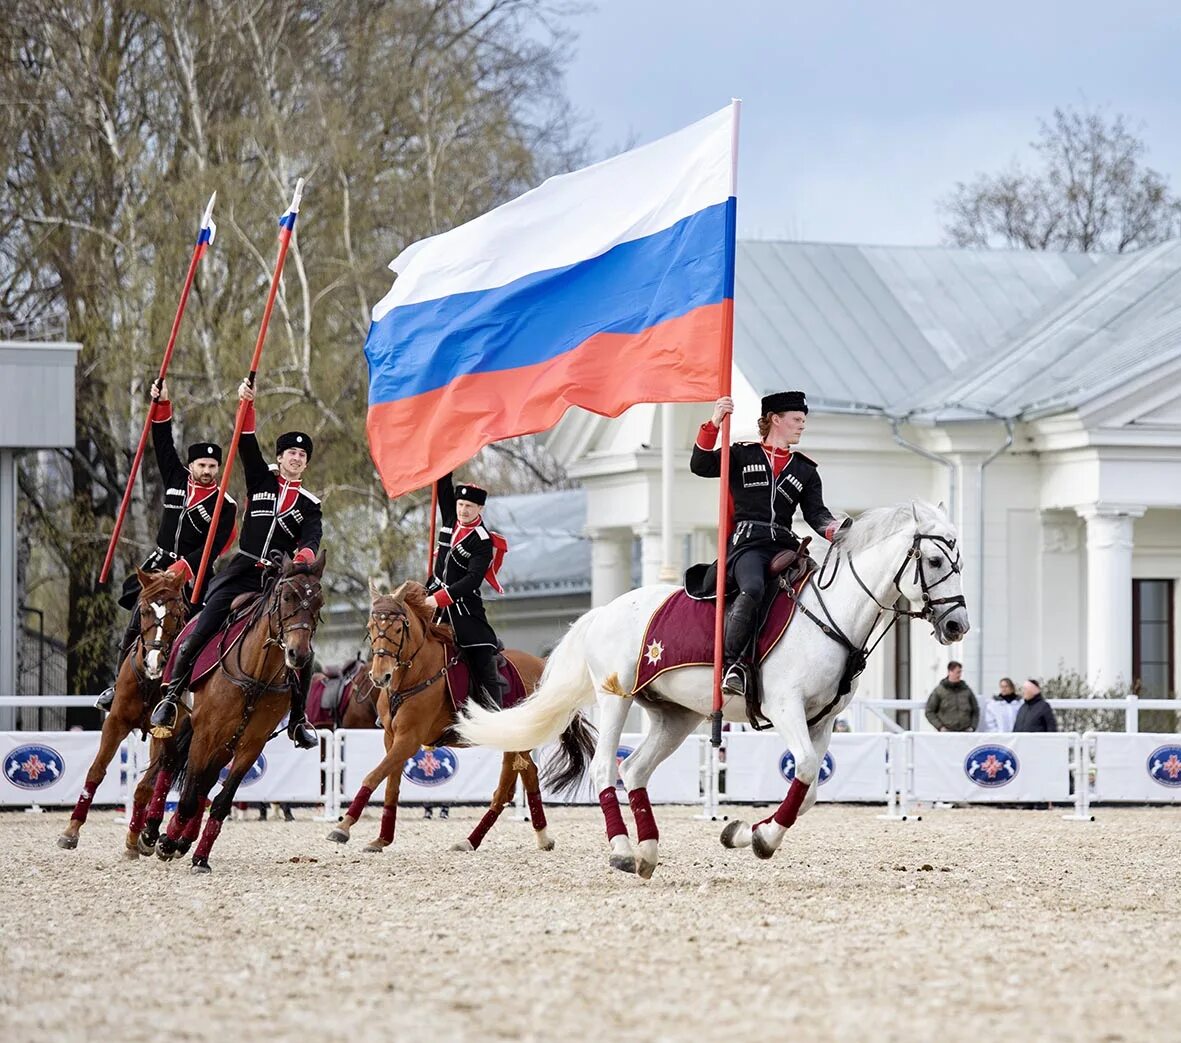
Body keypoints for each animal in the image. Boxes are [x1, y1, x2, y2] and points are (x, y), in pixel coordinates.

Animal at [55, 571, 188, 855]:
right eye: (144, 610)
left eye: (177, 612)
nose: (155, 662)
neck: (149, 683)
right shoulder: (116, 723)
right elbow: (96, 771)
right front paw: (71, 830)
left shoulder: (164, 733)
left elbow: (145, 787)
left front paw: (135, 838)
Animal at [154, 555, 328, 874]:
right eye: (287, 597)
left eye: (319, 602)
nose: (298, 655)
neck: (256, 675)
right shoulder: (205, 734)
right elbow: (187, 798)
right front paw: (167, 842)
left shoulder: (250, 744)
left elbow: (221, 800)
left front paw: (199, 856)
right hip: (181, 726)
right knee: (170, 765)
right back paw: (150, 832)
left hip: (225, 744)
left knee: (205, 782)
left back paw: (184, 839)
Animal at [325, 578, 595, 855]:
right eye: (371, 627)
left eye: (399, 628)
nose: (380, 676)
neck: (413, 676)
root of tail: (544, 666)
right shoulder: (391, 739)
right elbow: (390, 787)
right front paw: (381, 839)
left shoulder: (409, 739)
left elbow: (373, 776)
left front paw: (343, 826)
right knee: (527, 776)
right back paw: (534, 837)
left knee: (505, 790)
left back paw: (475, 839)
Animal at [458, 500, 968, 878]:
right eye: (935, 560)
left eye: (959, 560)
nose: (957, 624)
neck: (831, 616)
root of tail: (603, 610)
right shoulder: (786, 708)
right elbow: (803, 771)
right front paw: (762, 838)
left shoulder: (822, 720)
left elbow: (809, 789)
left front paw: (743, 832)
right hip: (615, 699)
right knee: (606, 768)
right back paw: (622, 849)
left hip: (675, 715)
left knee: (635, 769)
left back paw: (647, 851)